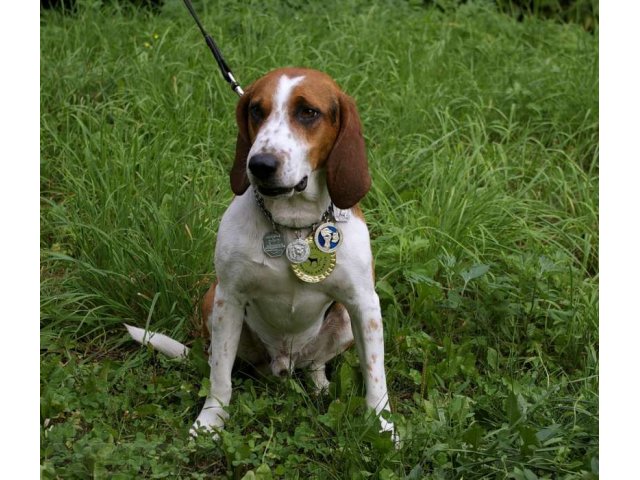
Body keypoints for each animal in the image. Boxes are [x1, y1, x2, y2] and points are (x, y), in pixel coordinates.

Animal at [126, 66, 396, 438]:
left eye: (308, 112)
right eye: (256, 110)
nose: (260, 164)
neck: (294, 224)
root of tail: (284, 364)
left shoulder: (364, 303)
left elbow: (375, 376)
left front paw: (383, 427)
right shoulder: (229, 298)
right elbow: (220, 375)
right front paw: (210, 421)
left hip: (341, 319)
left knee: (314, 364)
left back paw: (320, 386)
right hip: (211, 301)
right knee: (217, 359)